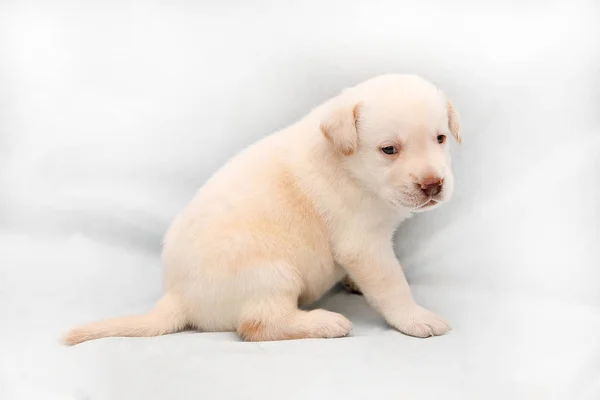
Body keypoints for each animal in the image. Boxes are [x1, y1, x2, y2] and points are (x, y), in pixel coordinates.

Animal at [64, 74, 460, 344]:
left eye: (440, 139)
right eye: (389, 150)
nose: (432, 185)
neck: (350, 169)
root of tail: (178, 297)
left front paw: (353, 283)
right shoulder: (363, 244)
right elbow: (392, 284)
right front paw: (415, 318)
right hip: (272, 274)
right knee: (258, 325)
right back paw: (323, 323)